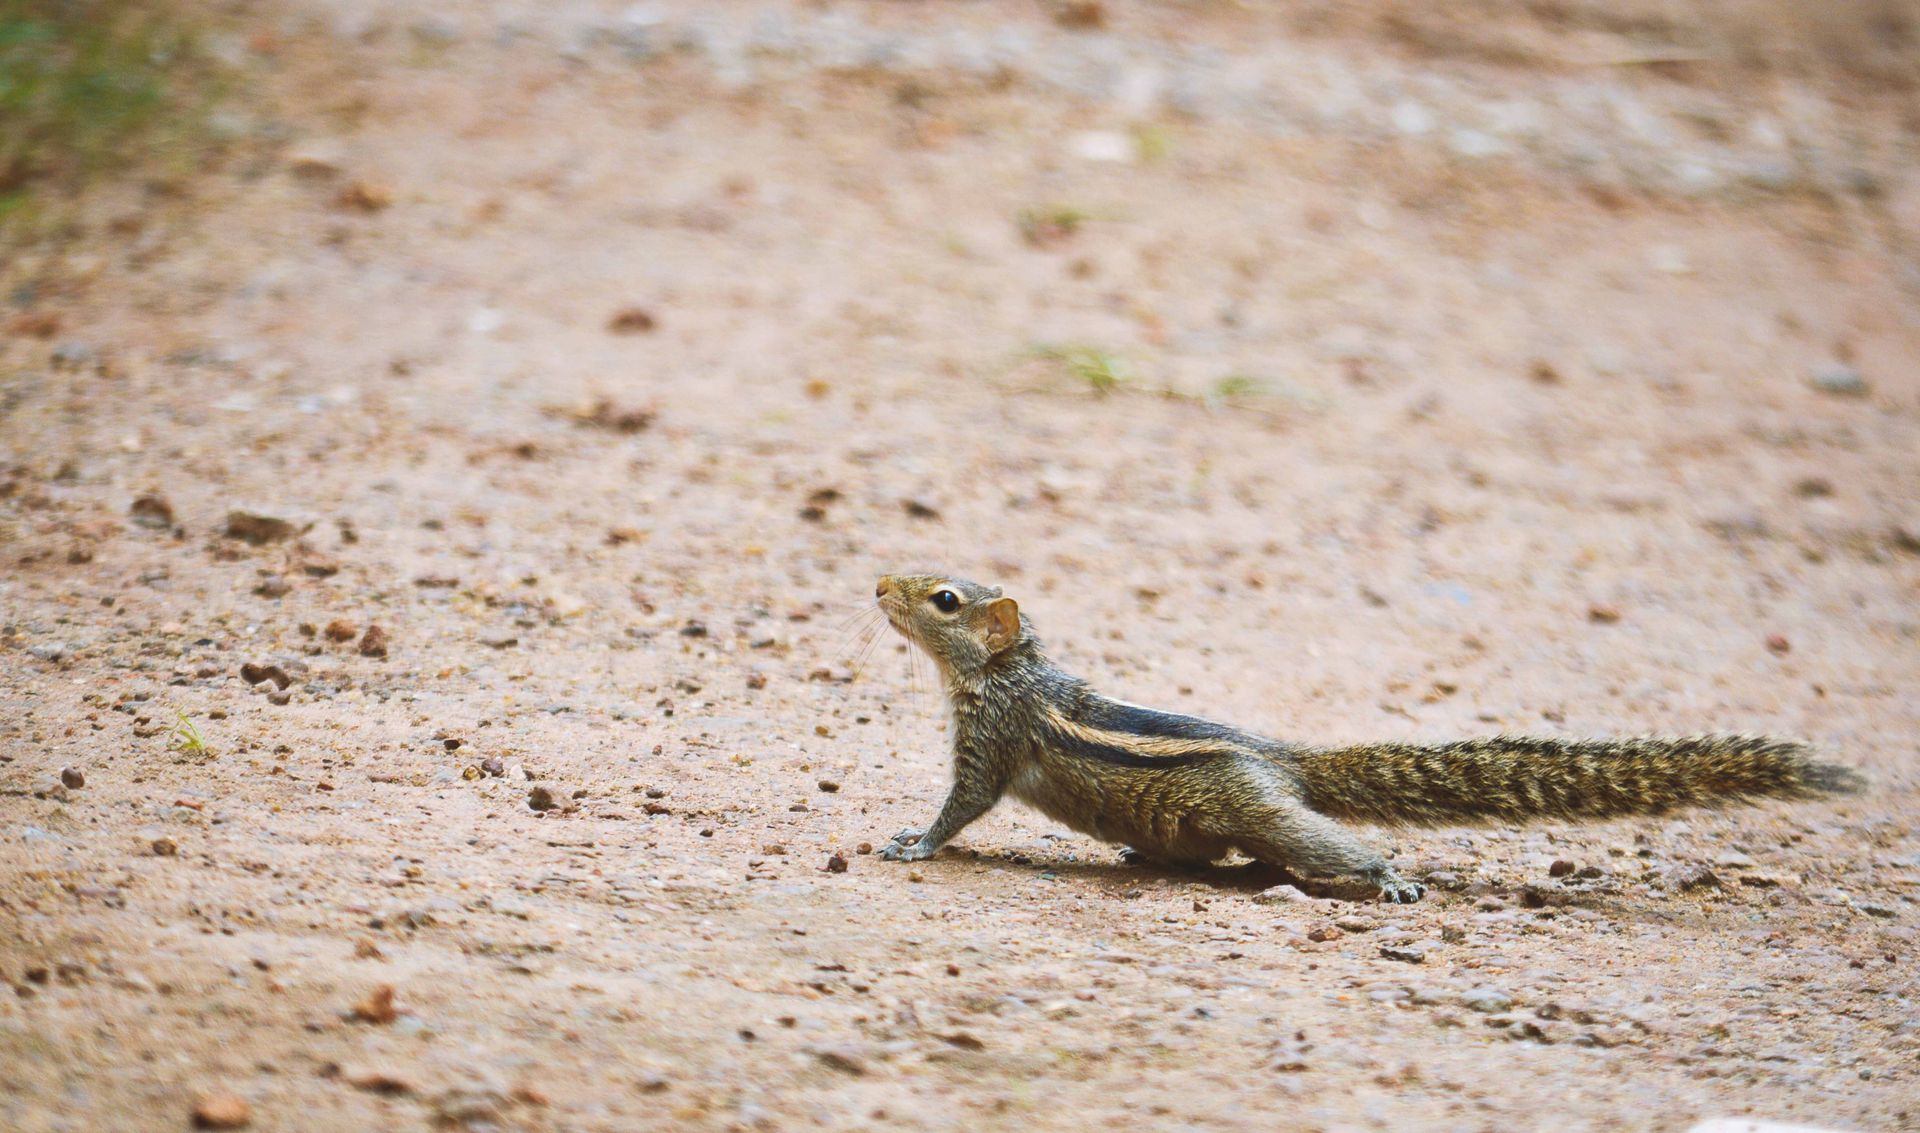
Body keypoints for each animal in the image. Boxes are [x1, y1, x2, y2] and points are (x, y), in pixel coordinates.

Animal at [871, 573, 1863, 903]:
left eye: (943, 599)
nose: (879, 583)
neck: (1011, 670)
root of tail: (1285, 759)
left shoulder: (992, 739)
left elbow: (962, 805)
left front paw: (911, 842)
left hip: (1261, 810)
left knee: (1326, 844)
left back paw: (1390, 879)